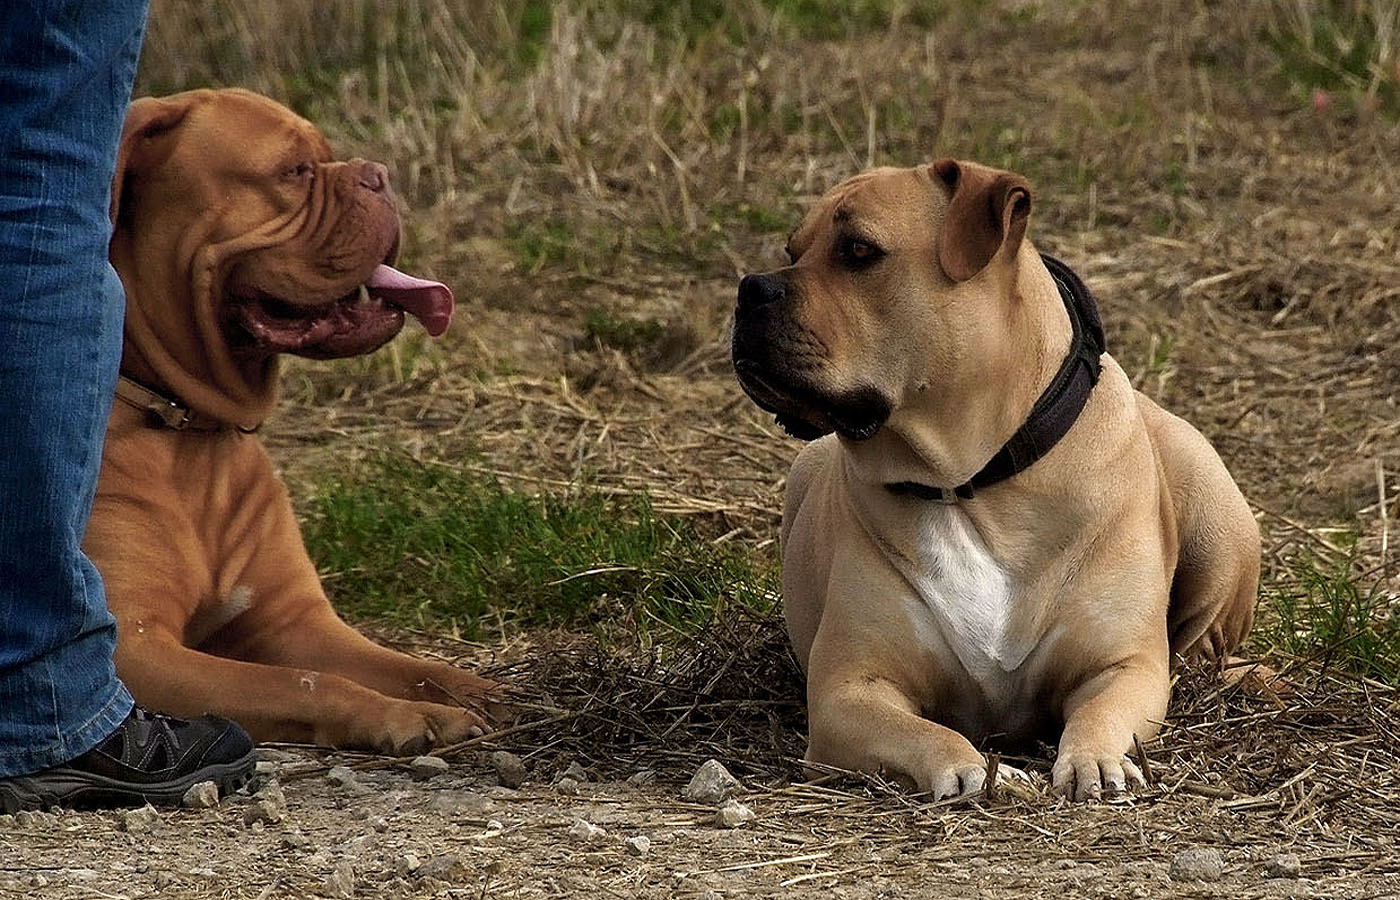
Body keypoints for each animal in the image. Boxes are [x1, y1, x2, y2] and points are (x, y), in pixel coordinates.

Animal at [84, 88, 506, 755]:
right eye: (295, 171)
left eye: (328, 156)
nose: (378, 175)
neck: (189, 432)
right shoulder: (133, 647)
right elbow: (299, 684)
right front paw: (402, 716)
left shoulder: (292, 621)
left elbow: (408, 667)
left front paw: (484, 693)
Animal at [733, 160, 1260, 800]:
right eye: (792, 250)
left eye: (858, 250)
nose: (751, 287)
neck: (969, 485)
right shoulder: (848, 691)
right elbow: (924, 732)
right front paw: (975, 770)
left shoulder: (1123, 667)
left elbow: (1102, 712)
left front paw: (1095, 760)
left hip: (1215, 508)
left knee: (1204, 646)